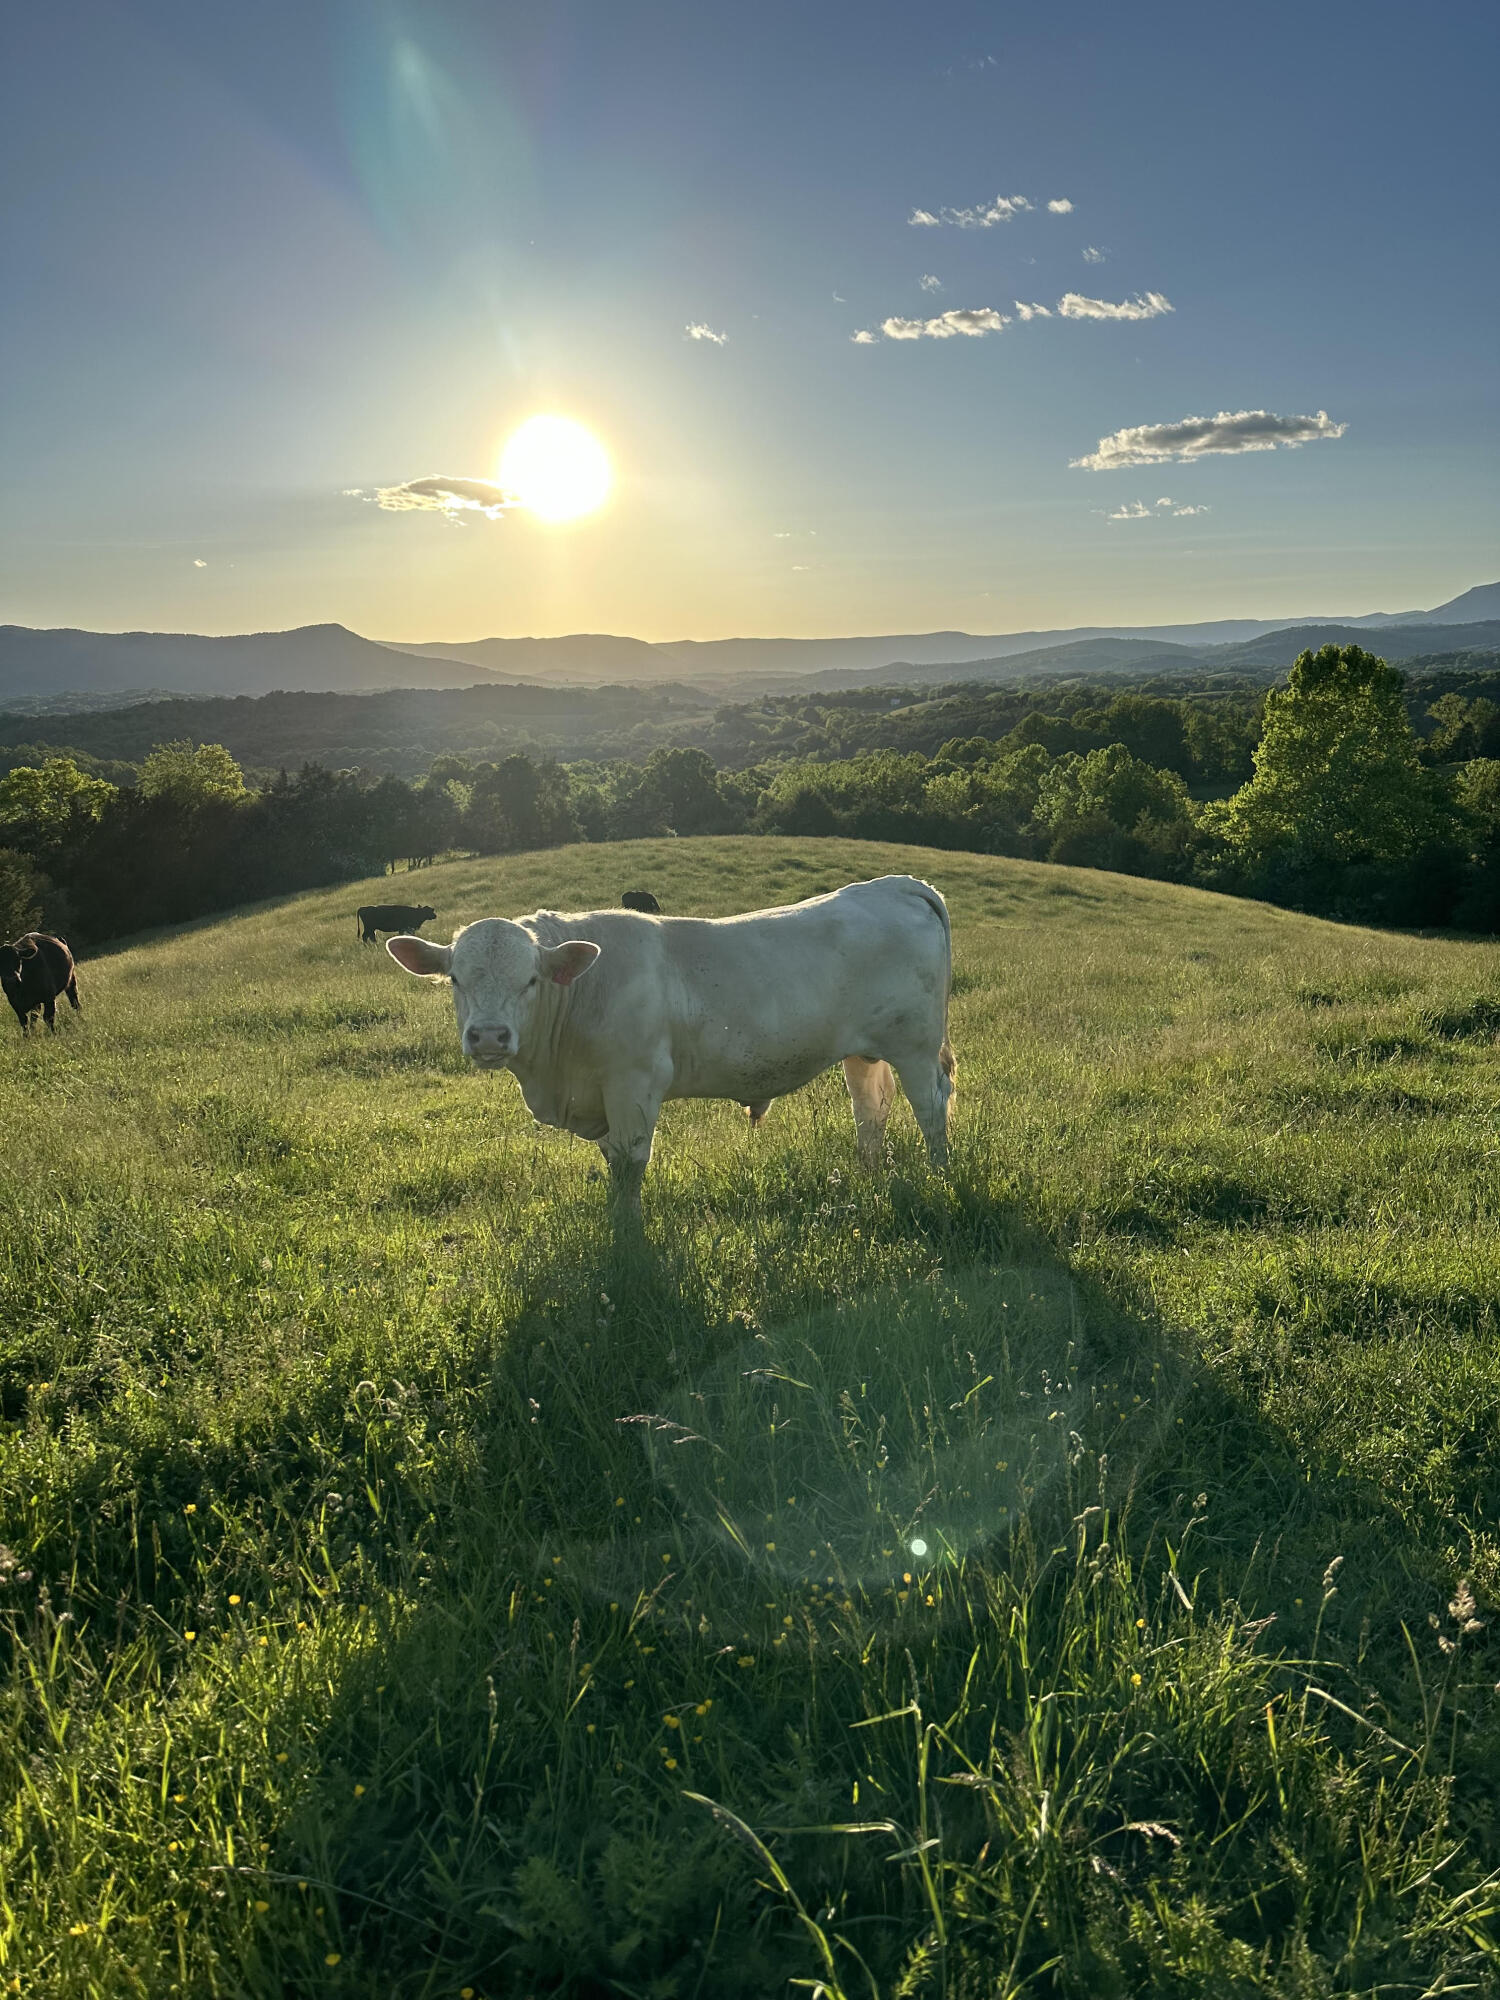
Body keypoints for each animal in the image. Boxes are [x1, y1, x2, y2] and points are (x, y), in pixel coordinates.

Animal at [384, 872, 952, 1200]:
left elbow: (629, 1168)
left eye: (530, 980)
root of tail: (895, 884)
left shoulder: (634, 1084)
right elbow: (612, 1163)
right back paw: (869, 1176)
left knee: (930, 1107)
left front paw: (627, 1244)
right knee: (870, 1110)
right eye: (455, 979)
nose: (489, 1037)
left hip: (917, 1048)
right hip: (863, 1051)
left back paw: (939, 1177)